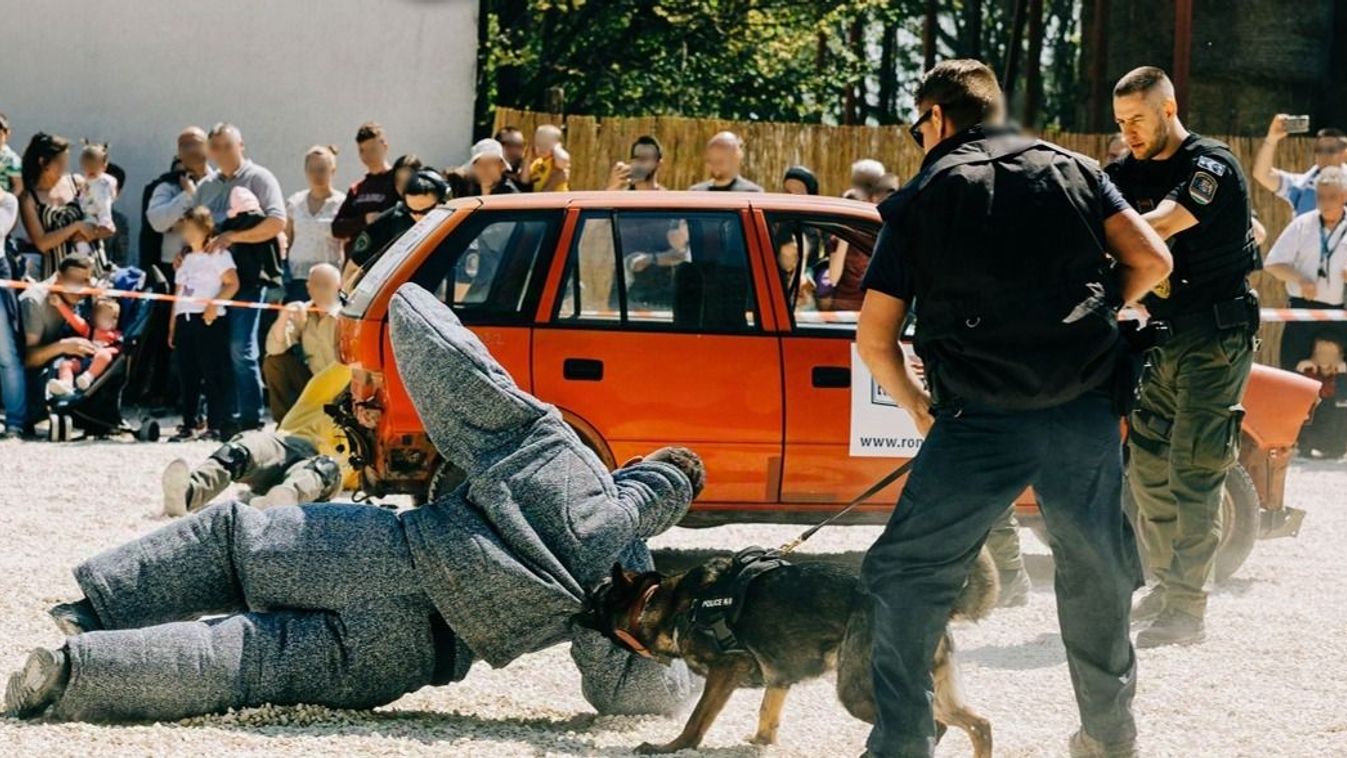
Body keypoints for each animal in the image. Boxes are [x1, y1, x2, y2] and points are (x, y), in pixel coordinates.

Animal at [573, 546, 996, 753]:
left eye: (598, 599)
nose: (576, 608)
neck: (670, 603)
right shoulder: (778, 678)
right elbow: (768, 711)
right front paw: (762, 743)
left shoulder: (724, 670)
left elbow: (697, 719)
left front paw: (671, 746)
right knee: (979, 724)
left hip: (858, 691)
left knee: (933, 727)